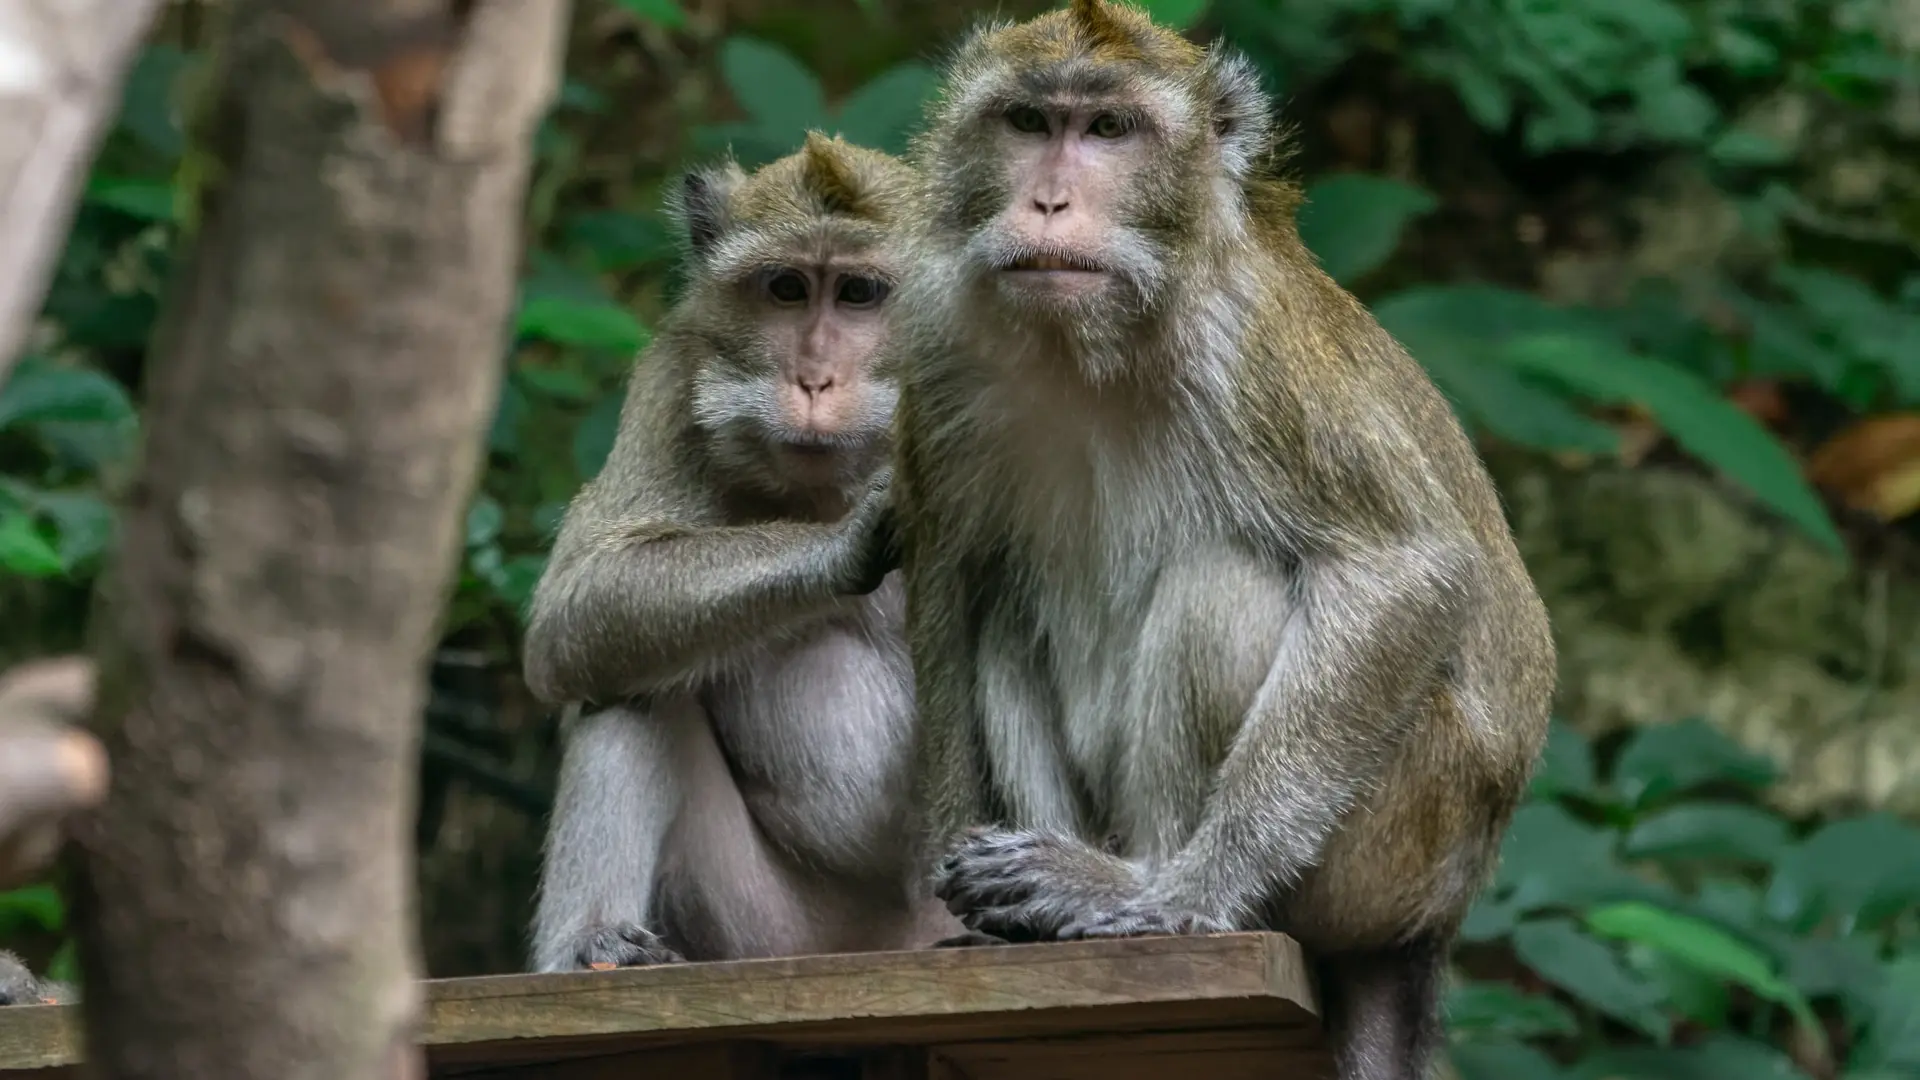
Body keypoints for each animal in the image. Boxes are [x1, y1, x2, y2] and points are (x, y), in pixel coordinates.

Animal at [520, 132, 963, 973]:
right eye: (786, 288)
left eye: (860, 294)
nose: (814, 379)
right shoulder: (671, 378)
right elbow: (578, 602)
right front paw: (848, 541)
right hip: (762, 929)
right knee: (624, 678)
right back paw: (591, 945)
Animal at [884, 3, 1556, 1078]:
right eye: (1029, 122)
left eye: (1110, 130)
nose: (1048, 199)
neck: (1101, 338)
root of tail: (1437, 917)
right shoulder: (943, 351)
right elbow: (950, 588)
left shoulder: (1253, 352)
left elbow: (1404, 570)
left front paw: (1185, 894)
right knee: (1004, 614)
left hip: (1402, 836)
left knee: (1220, 583)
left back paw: (1134, 884)